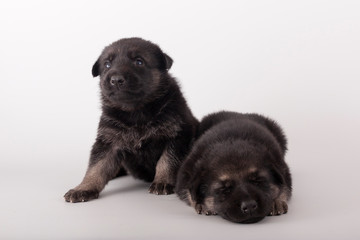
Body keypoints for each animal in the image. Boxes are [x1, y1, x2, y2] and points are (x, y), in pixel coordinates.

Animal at [65, 37, 200, 202]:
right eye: (107, 64)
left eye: (139, 62)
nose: (116, 79)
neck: (135, 111)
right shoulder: (108, 141)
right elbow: (96, 166)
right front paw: (84, 188)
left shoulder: (177, 135)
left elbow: (167, 161)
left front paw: (163, 182)